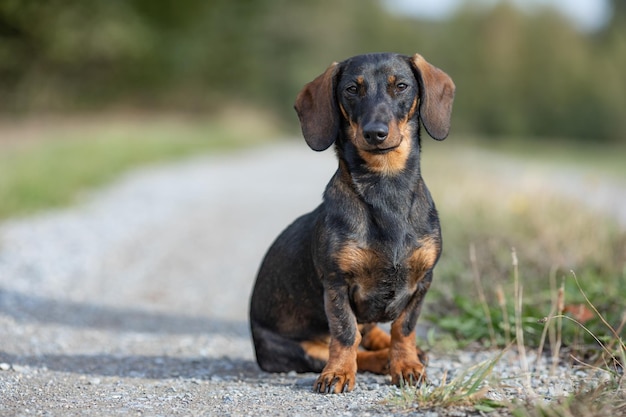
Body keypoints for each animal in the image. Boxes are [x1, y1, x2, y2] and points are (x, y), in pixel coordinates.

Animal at [247, 52, 454, 394]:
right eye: (351, 90)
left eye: (401, 86)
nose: (375, 133)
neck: (385, 187)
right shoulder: (337, 283)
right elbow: (345, 334)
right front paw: (339, 373)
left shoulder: (423, 280)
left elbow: (404, 328)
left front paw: (407, 365)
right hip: (294, 349)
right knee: (354, 344)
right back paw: (378, 360)